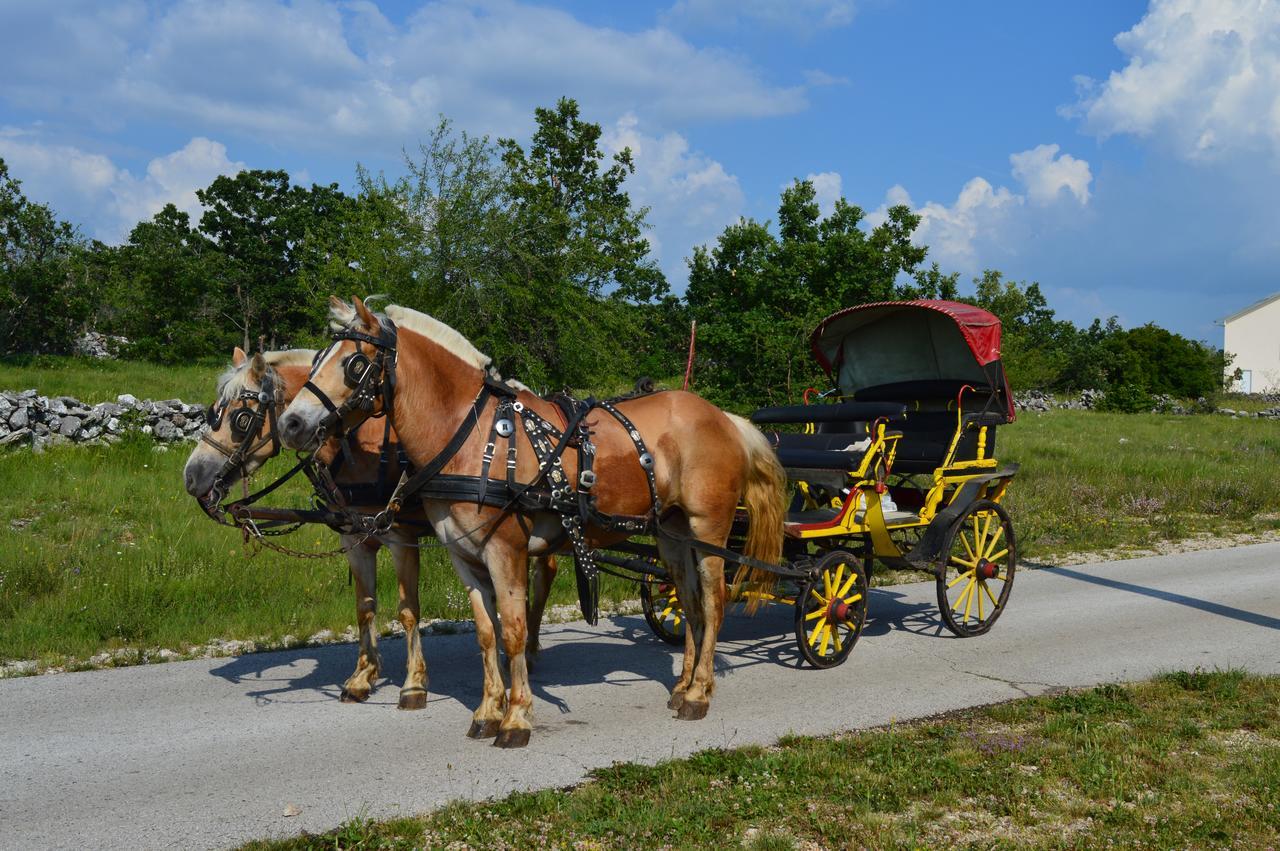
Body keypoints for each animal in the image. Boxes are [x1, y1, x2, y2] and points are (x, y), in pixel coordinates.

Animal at [183, 348, 563, 711]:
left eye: (241, 418)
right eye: (212, 412)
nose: (192, 476)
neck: (357, 445)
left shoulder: (400, 538)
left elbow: (408, 611)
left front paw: (414, 684)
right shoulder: (354, 538)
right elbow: (364, 607)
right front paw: (362, 677)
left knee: (544, 575)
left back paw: (529, 652)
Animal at [275, 295, 783, 747]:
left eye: (353, 364)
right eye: (316, 360)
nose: (291, 424)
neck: (469, 437)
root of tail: (723, 417)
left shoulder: (504, 551)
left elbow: (514, 631)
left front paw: (516, 718)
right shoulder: (464, 556)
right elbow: (486, 633)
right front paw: (486, 712)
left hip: (708, 529)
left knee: (714, 604)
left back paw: (699, 694)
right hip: (673, 535)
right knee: (691, 605)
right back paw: (684, 686)